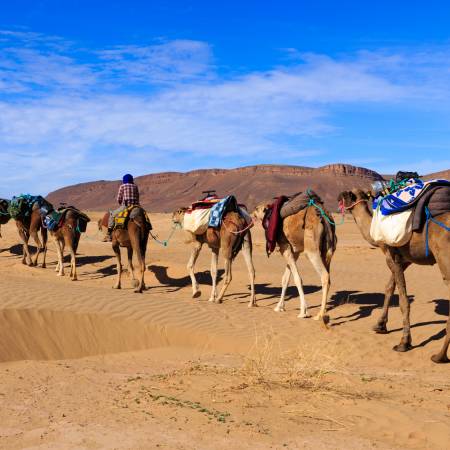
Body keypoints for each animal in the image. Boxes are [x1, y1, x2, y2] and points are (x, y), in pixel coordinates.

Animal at [338, 188, 450, 364]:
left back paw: (439, 356)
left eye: (345, 195)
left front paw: (404, 343)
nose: (338, 199)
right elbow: (389, 287)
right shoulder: (404, 259)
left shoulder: (391, 256)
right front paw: (380, 325)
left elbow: (403, 300)